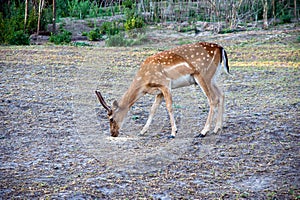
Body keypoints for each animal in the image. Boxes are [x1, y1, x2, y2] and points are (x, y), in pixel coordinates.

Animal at [96, 41, 230, 138]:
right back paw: (217, 128)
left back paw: (203, 132)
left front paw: (173, 133)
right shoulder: (159, 91)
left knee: (213, 99)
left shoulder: (165, 84)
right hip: (213, 77)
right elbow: (152, 109)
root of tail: (221, 48)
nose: (113, 134)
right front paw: (142, 131)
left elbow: (169, 107)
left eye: (111, 118)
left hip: (203, 75)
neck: (144, 81)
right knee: (221, 94)